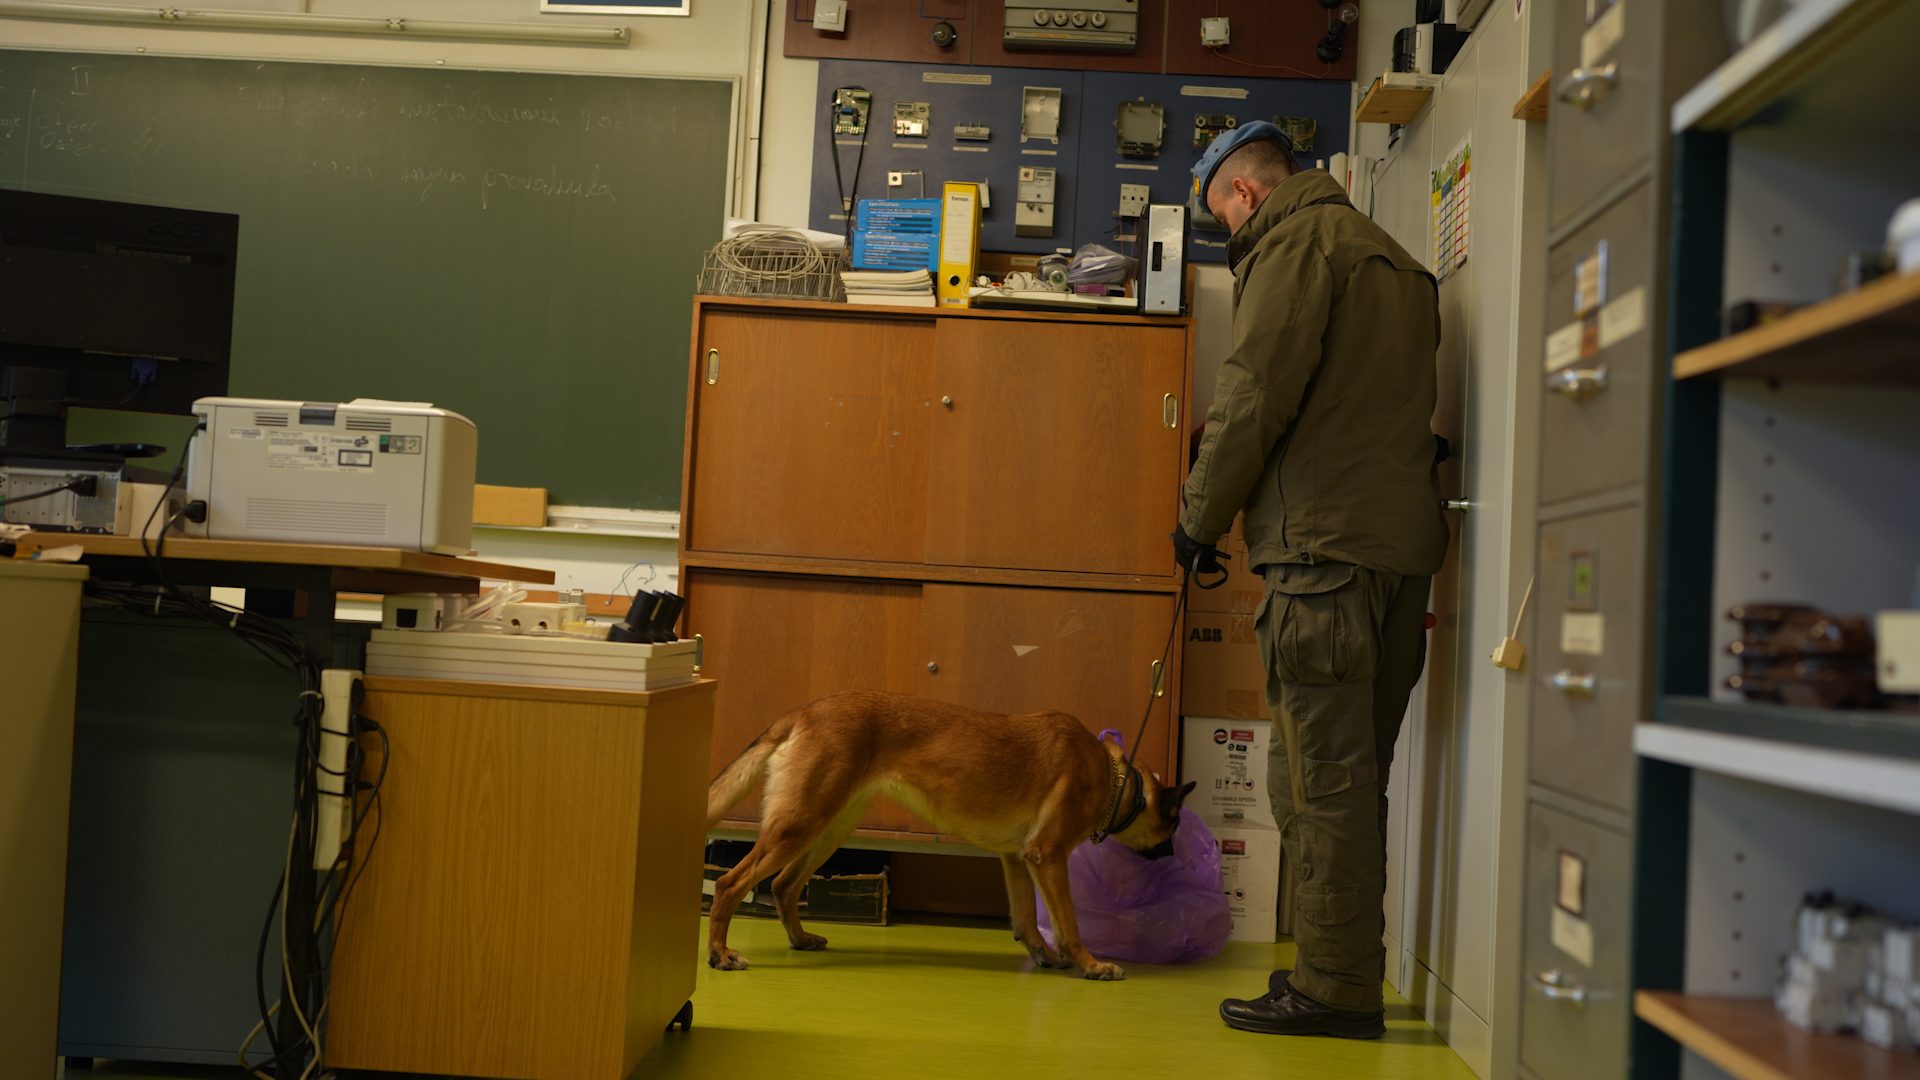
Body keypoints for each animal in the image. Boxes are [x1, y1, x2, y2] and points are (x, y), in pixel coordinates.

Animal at [706, 687, 1190, 976]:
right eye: (1174, 825)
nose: (1175, 858)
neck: (1113, 777)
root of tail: (802, 712)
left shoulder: (1018, 860)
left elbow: (1026, 919)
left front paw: (1044, 955)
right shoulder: (1048, 855)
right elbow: (1068, 923)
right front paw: (1089, 963)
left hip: (826, 830)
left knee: (784, 884)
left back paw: (800, 938)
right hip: (800, 826)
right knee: (731, 883)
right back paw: (720, 954)